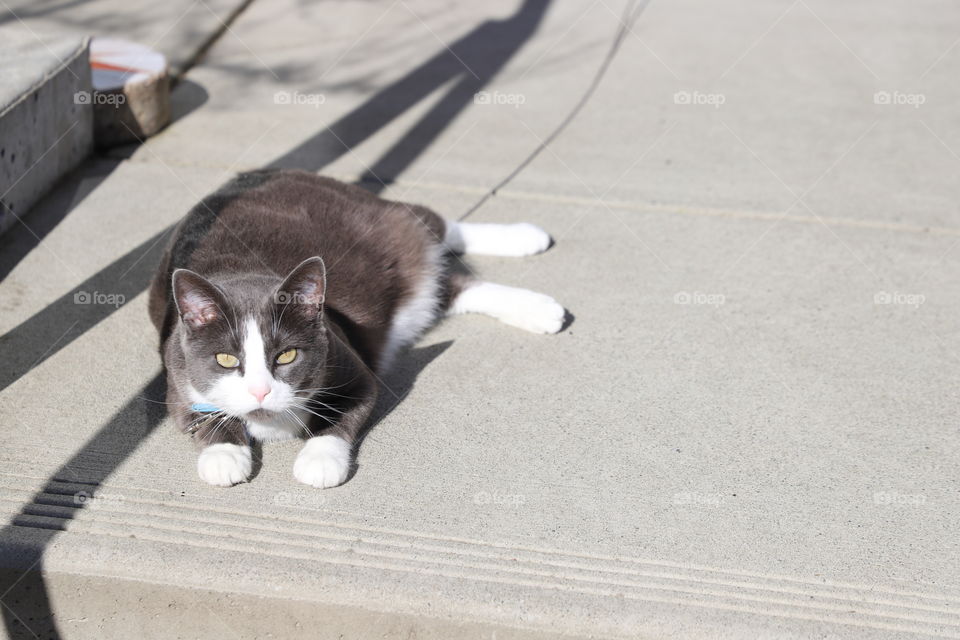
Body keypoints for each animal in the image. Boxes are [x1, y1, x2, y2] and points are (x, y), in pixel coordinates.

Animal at [148, 168, 564, 488]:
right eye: (225, 360)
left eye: (287, 355)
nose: (260, 391)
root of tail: (255, 174)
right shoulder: (177, 369)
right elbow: (195, 416)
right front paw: (223, 455)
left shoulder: (349, 362)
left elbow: (342, 414)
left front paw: (318, 462)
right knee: (451, 287)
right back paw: (537, 306)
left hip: (372, 215)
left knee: (431, 223)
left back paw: (527, 241)